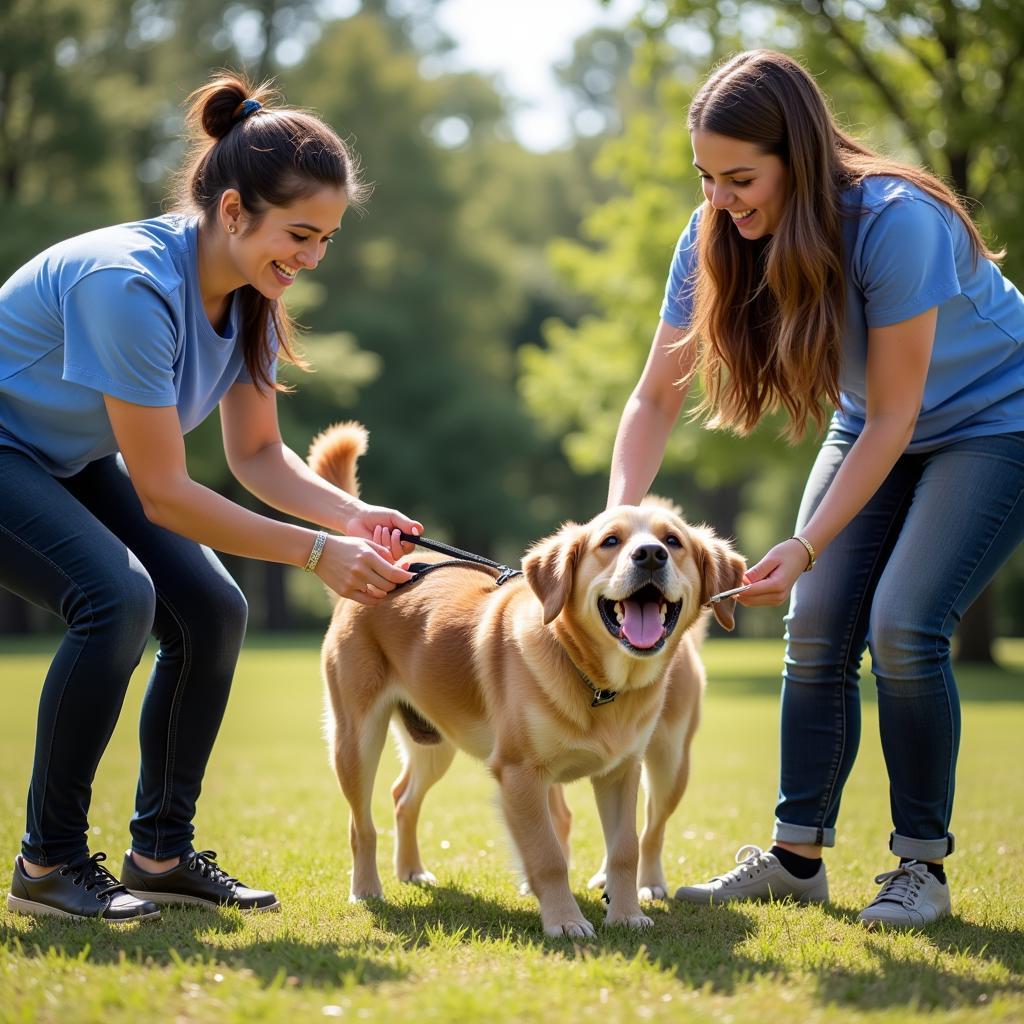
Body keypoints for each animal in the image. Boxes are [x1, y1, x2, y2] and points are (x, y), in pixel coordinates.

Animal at [307, 423, 741, 937]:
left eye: (673, 541)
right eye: (610, 541)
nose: (651, 555)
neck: (595, 680)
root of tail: (380, 573)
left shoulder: (621, 772)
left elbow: (625, 848)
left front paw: (627, 914)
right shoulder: (519, 773)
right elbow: (547, 854)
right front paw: (565, 921)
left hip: (661, 758)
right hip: (357, 738)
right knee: (363, 821)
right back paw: (368, 888)